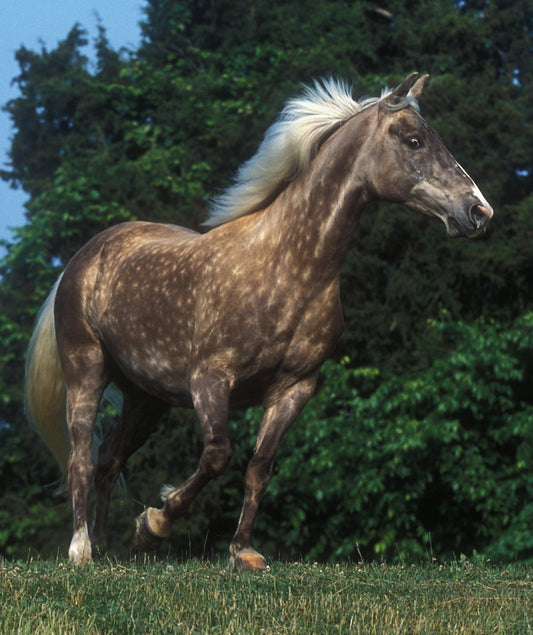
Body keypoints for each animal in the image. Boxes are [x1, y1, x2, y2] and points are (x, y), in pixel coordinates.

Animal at [23, 76, 490, 572]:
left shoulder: (294, 389)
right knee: (82, 458)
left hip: (146, 398)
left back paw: (105, 546)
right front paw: (156, 522)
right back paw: (81, 549)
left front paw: (242, 551)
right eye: (414, 140)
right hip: (86, 369)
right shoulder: (210, 378)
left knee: (110, 458)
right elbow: (217, 456)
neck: (289, 268)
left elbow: (259, 466)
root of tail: (86, 255)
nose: (479, 212)